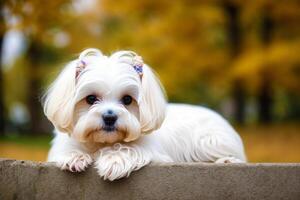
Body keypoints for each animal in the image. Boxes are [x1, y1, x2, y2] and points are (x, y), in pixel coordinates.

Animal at [44, 48, 246, 181]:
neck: (102, 142)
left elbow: (129, 148)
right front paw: (74, 156)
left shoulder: (155, 153)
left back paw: (227, 160)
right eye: (91, 98)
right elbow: (68, 149)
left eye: (127, 99)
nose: (110, 117)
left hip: (211, 141)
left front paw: (114, 159)